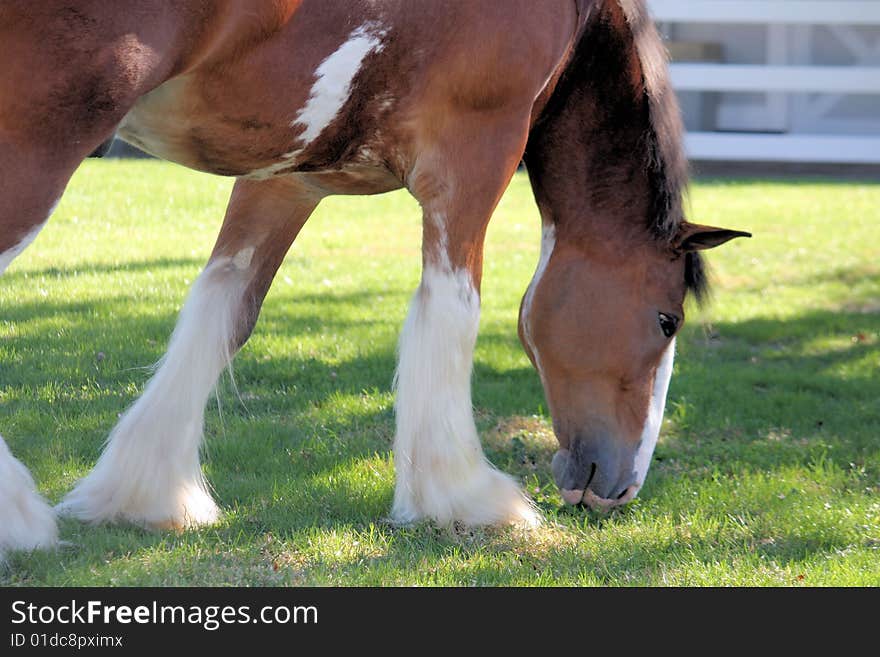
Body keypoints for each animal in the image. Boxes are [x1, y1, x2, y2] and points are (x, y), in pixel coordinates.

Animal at [1, 0, 748, 552]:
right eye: (667, 319)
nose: (623, 486)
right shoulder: (474, 154)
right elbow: (452, 311)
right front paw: (463, 496)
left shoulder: (286, 177)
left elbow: (223, 312)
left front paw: (146, 492)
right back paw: (20, 517)